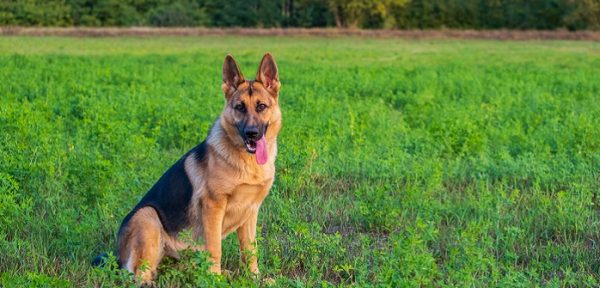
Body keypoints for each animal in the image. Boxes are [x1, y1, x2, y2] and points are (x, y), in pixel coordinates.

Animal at [94, 52, 282, 284]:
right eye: (239, 107)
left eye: (261, 106)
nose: (252, 134)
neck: (246, 162)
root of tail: (117, 255)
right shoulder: (213, 207)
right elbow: (215, 249)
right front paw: (215, 281)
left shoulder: (251, 211)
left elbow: (250, 250)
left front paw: (254, 278)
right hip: (147, 217)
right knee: (138, 274)